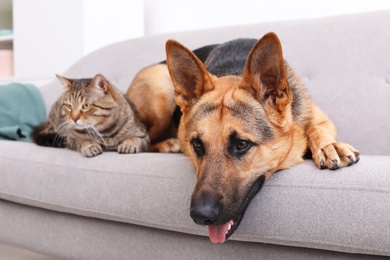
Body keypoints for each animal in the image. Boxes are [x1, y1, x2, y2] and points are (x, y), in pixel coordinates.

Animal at [127, 32, 360, 244]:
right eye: (197, 145)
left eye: (241, 144)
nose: (201, 216)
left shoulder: (322, 120)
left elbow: (315, 129)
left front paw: (329, 146)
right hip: (160, 90)